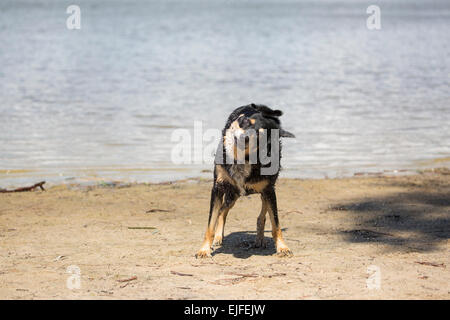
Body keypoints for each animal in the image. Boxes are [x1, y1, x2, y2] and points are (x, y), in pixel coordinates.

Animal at [194, 104, 296, 258]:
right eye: (246, 121)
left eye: (260, 134)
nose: (245, 138)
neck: (241, 159)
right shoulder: (218, 187)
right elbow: (210, 223)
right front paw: (204, 249)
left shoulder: (269, 190)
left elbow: (275, 223)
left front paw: (282, 247)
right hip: (232, 194)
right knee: (222, 210)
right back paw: (218, 237)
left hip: (260, 191)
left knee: (261, 215)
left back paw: (259, 239)